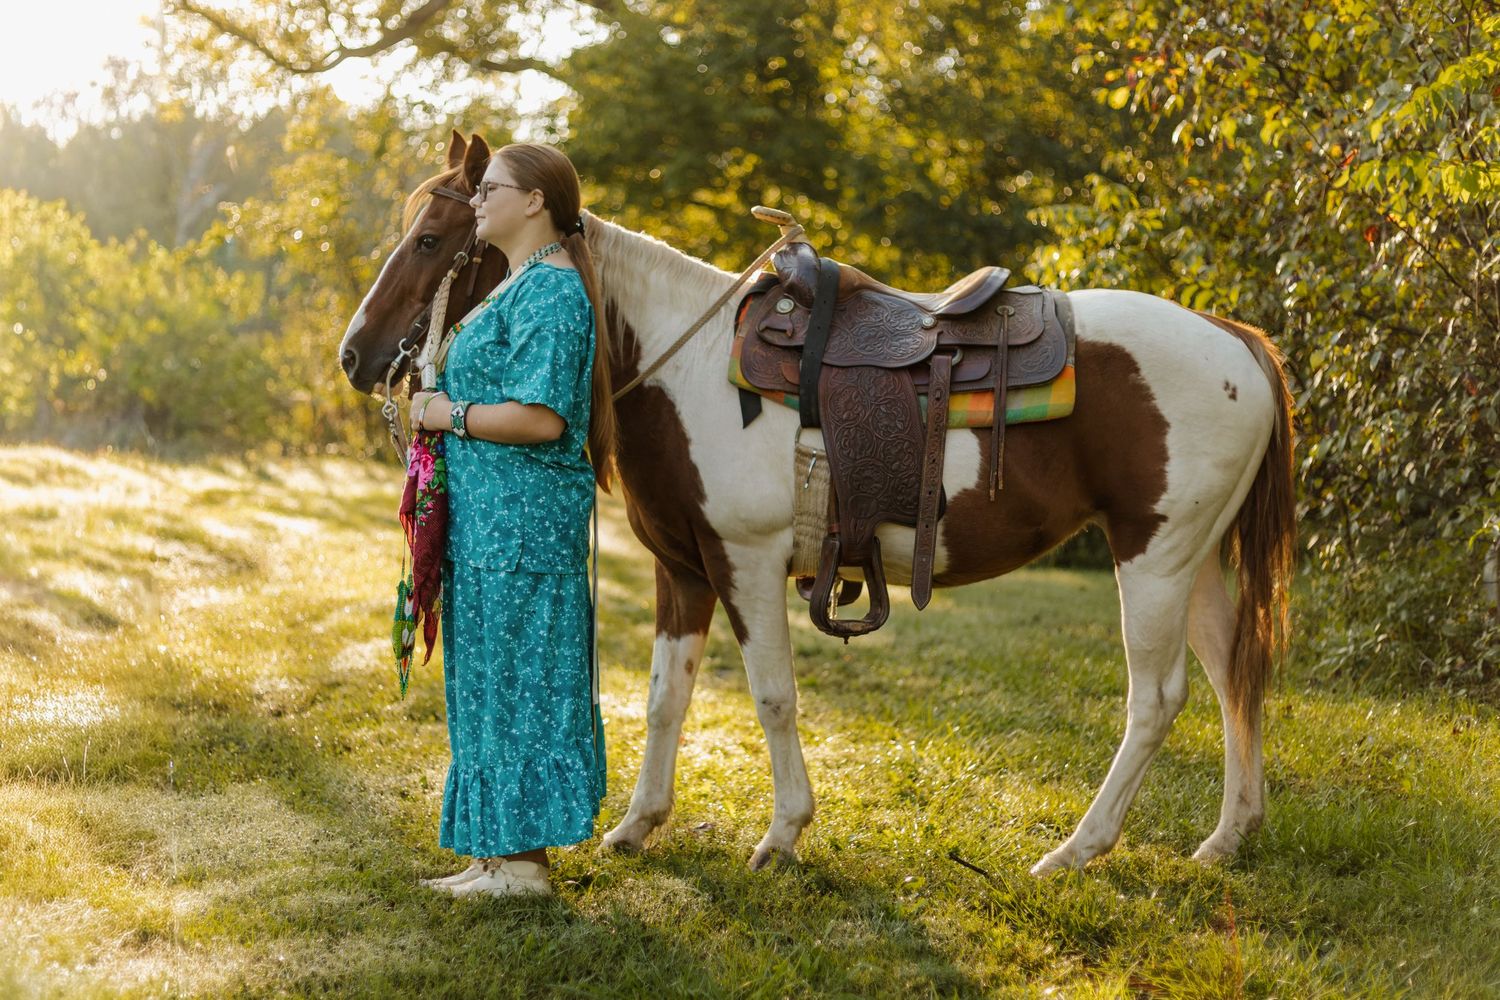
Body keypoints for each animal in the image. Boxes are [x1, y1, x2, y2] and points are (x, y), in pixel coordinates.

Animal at [339, 132, 1295, 876]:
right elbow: (665, 697)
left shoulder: (746, 561)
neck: (682, 366)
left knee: (1157, 696)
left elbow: (771, 695)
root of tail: (1236, 339)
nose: (355, 356)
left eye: (431, 239)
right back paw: (1228, 838)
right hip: (1191, 559)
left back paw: (1078, 849)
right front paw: (637, 827)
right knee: (1230, 673)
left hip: (1154, 557)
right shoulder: (684, 569)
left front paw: (783, 835)